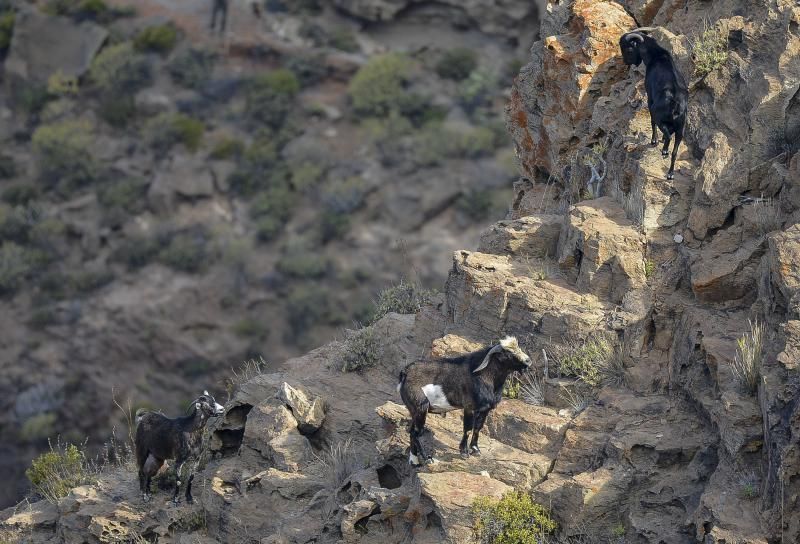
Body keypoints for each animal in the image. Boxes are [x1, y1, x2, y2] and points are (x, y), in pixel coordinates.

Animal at [397, 336, 531, 465]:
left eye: (518, 348)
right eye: (508, 353)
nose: (528, 361)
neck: (484, 376)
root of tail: (405, 372)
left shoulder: (485, 409)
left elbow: (478, 428)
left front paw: (476, 449)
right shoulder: (469, 407)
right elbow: (468, 429)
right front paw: (464, 452)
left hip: (415, 411)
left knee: (411, 431)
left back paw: (414, 461)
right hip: (421, 407)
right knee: (416, 433)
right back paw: (427, 459)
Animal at [619, 29, 688, 180]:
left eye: (628, 49)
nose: (626, 62)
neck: (657, 56)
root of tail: (675, 104)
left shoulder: (650, 99)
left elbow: (652, 122)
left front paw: (654, 141)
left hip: (660, 117)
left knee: (667, 134)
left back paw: (664, 151)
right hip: (681, 129)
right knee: (675, 151)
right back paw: (670, 174)